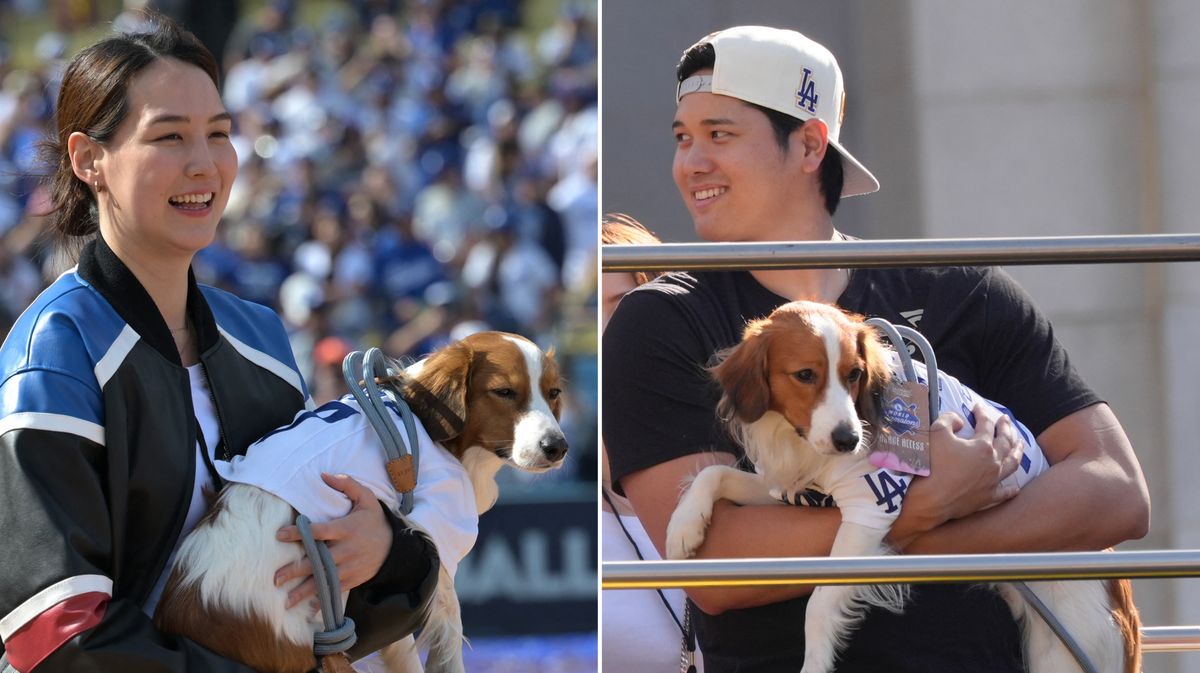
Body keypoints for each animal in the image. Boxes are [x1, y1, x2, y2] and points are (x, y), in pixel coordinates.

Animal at [667, 299, 1142, 671]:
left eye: (855, 374)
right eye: (804, 375)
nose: (849, 440)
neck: (803, 445)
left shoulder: (872, 505)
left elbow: (819, 603)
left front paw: (815, 663)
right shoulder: (788, 491)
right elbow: (714, 474)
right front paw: (683, 527)